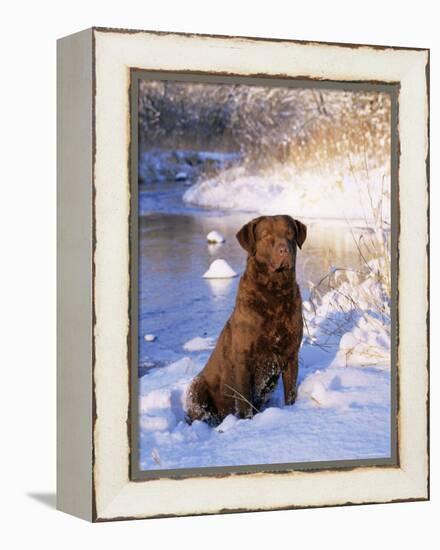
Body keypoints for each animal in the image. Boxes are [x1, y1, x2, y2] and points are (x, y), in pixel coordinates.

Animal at [186, 216, 306, 426]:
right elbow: (244, 401)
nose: (284, 250)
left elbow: (291, 393)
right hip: (197, 387)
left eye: (290, 233)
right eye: (265, 235)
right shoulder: (243, 359)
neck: (275, 294)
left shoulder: (291, 355)